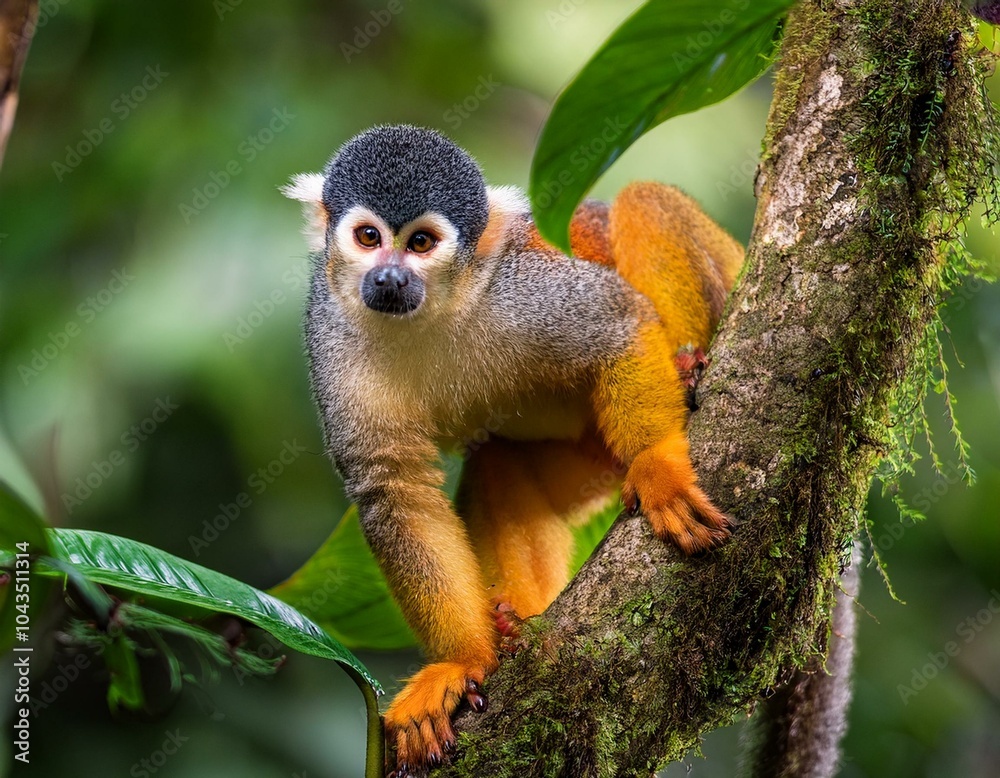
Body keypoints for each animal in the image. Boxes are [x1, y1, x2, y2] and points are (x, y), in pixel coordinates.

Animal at [284, 125, 744, 775]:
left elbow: (617, 319)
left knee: (640, 201)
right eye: (368, 237)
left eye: (421, 243)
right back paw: (514, 620)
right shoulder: (329, 331)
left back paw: (686, 366)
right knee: (498, 457)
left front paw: (659, 466)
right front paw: (463, 661)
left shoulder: (523, 294)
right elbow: (392, 487)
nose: (390, 280)